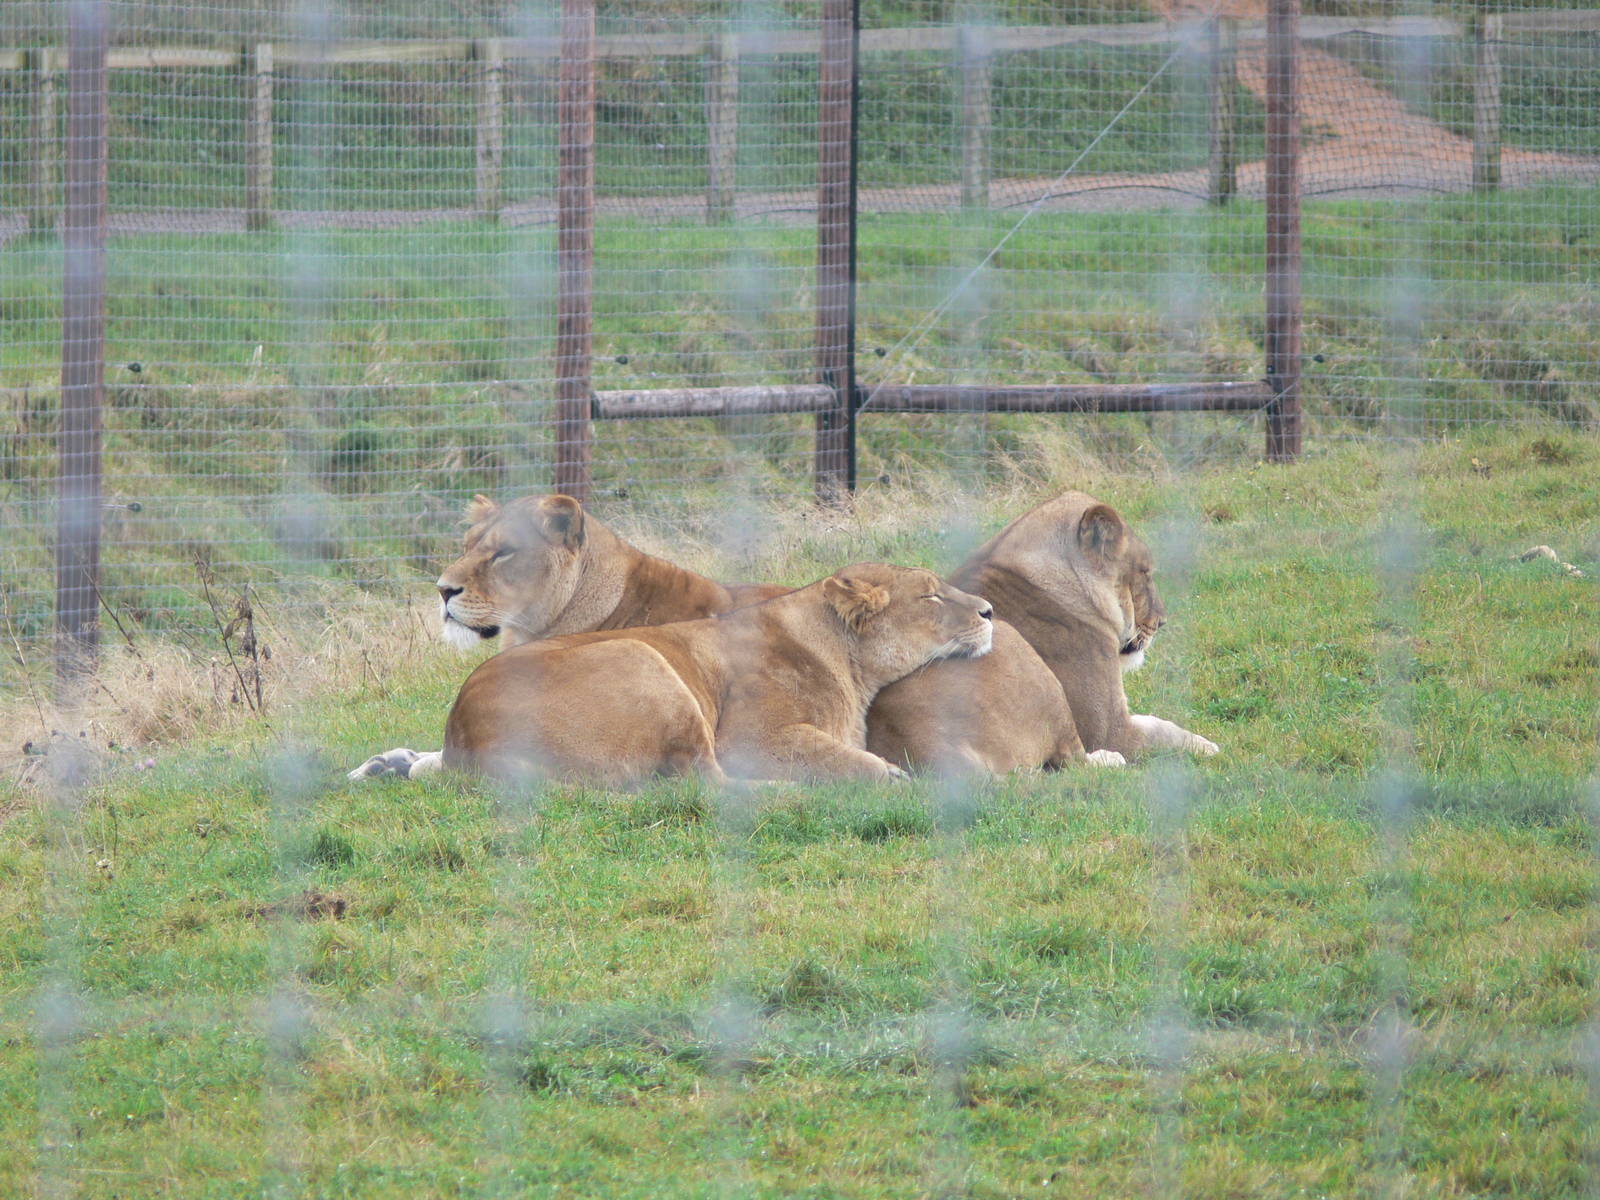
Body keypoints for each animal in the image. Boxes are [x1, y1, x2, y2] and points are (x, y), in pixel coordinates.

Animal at [439, 563, 994, 786]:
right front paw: (890, 775)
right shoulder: (752, 736)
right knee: (705, 783)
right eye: (931, 595)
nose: (989, 611)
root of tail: (465, 738)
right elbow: (840, 758)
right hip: (645, 658)